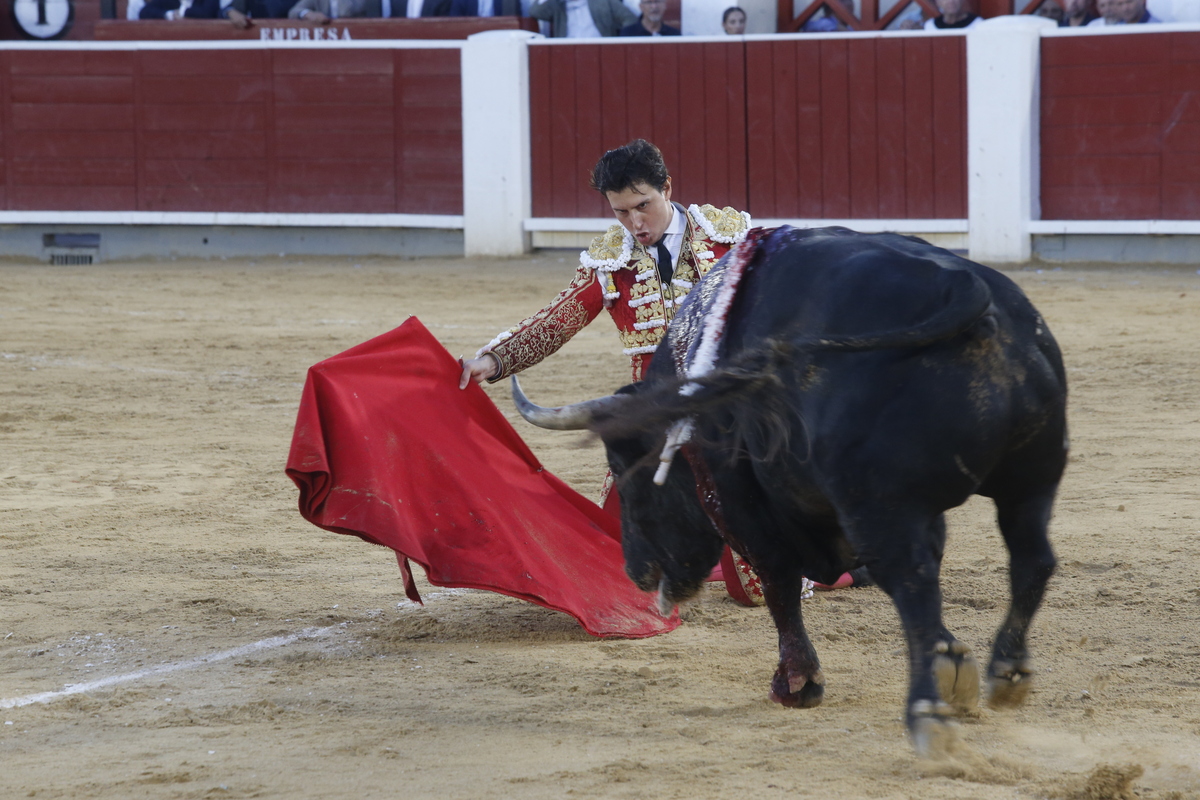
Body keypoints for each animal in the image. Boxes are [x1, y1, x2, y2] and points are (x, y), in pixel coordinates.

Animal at [516, 226, 1070, 758]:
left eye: (622, 463)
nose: (635, 570)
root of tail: (961, 285)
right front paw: (951, 659)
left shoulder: (738, 500)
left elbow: (778, 580)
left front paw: (797, 682)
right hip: (1033, 478)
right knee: (1031, 560)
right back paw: (1006, 672)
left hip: (880, 506)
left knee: (912, 581)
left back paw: (926, 714)